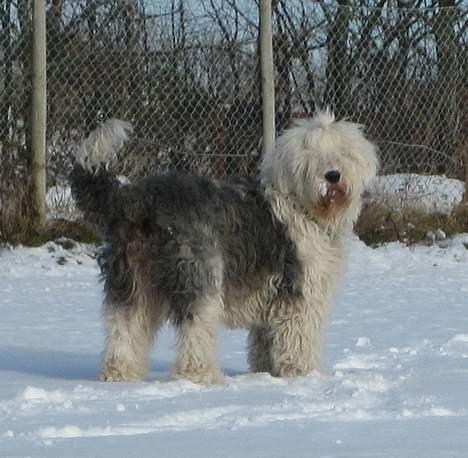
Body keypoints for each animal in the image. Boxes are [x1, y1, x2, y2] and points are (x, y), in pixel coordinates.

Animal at [69, 110, 378, 382]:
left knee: (125, 325)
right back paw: (201, 375)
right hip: (198, 275)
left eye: (342, 153)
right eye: (313, 156)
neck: (301, 206)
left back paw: (119, 375)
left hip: (131, 282)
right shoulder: (300, 293)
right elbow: (297, 337)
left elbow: (265, 339)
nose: (333, 176)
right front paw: (302, 373)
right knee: (195, 328)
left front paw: (266, 371)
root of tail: (138, 199)